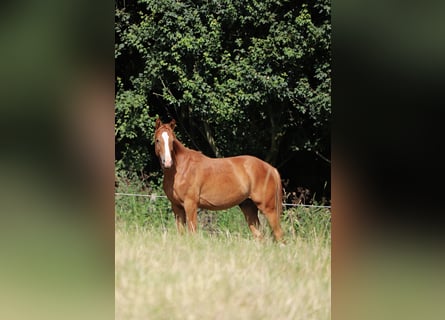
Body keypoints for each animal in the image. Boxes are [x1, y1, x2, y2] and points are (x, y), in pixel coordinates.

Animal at [154, 119, 282, 241]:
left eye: (172, 141)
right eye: (157, 140)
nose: (167, 162)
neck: (182, 168)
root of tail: (271, 169)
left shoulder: (190, 205)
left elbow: (192, 233)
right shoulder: (177, 207)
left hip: (269, 209)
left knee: (279, 235)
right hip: (249, 207)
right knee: (259, 237)